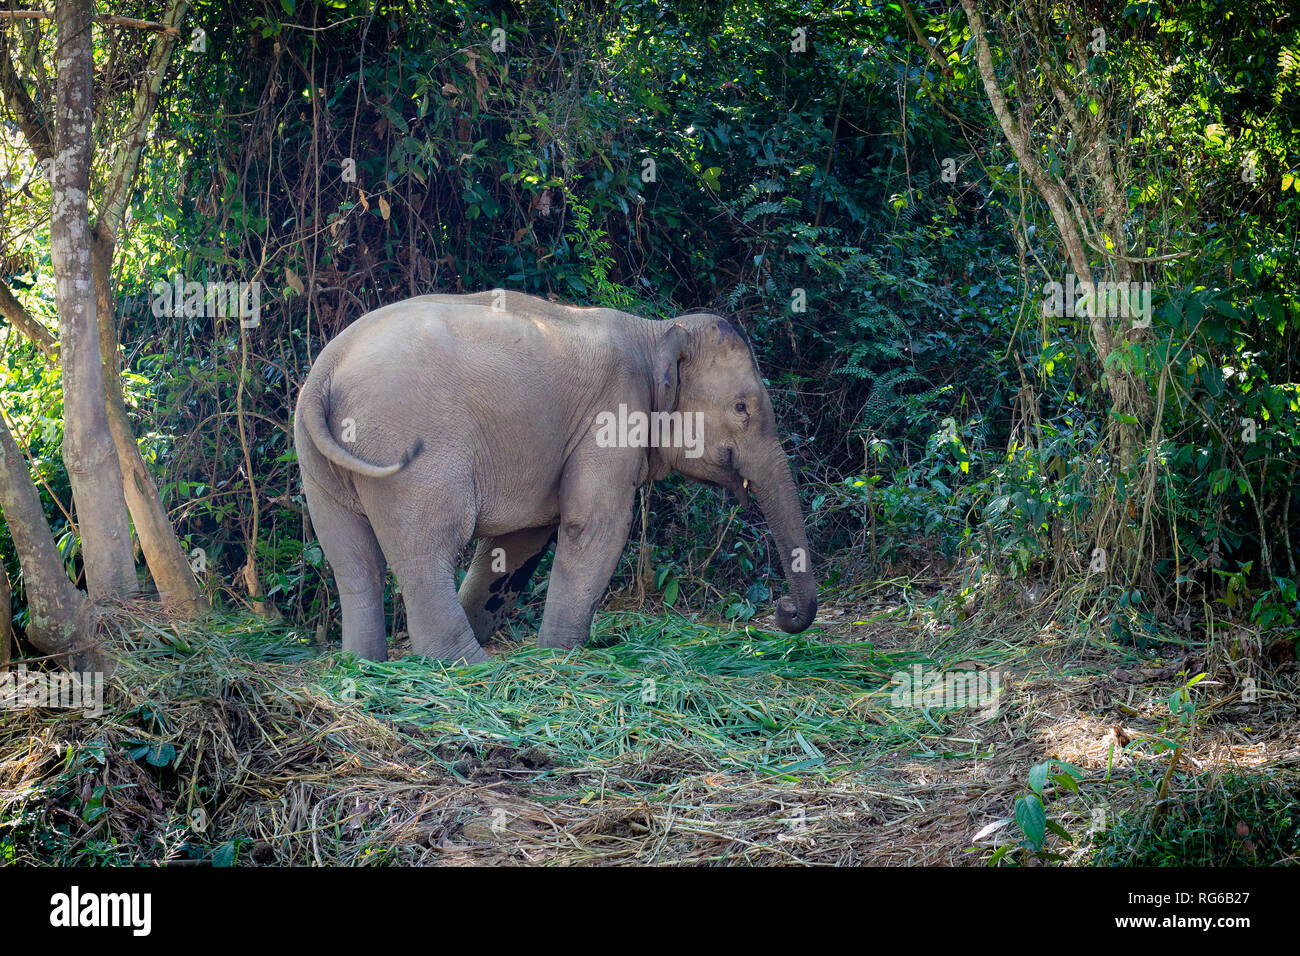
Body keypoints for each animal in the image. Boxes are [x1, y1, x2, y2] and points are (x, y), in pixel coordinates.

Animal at [295, 291, 816, 660]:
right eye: (742, 408)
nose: (784, 611)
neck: (656, 331)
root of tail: (326, 370)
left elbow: (519, 544)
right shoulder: (613, 416)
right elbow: (595, 525)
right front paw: (560, 655)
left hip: (317, 465)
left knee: (352, 560)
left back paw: (365, 666)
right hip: (409, 449)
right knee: (428, 548)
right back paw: (467, 666)